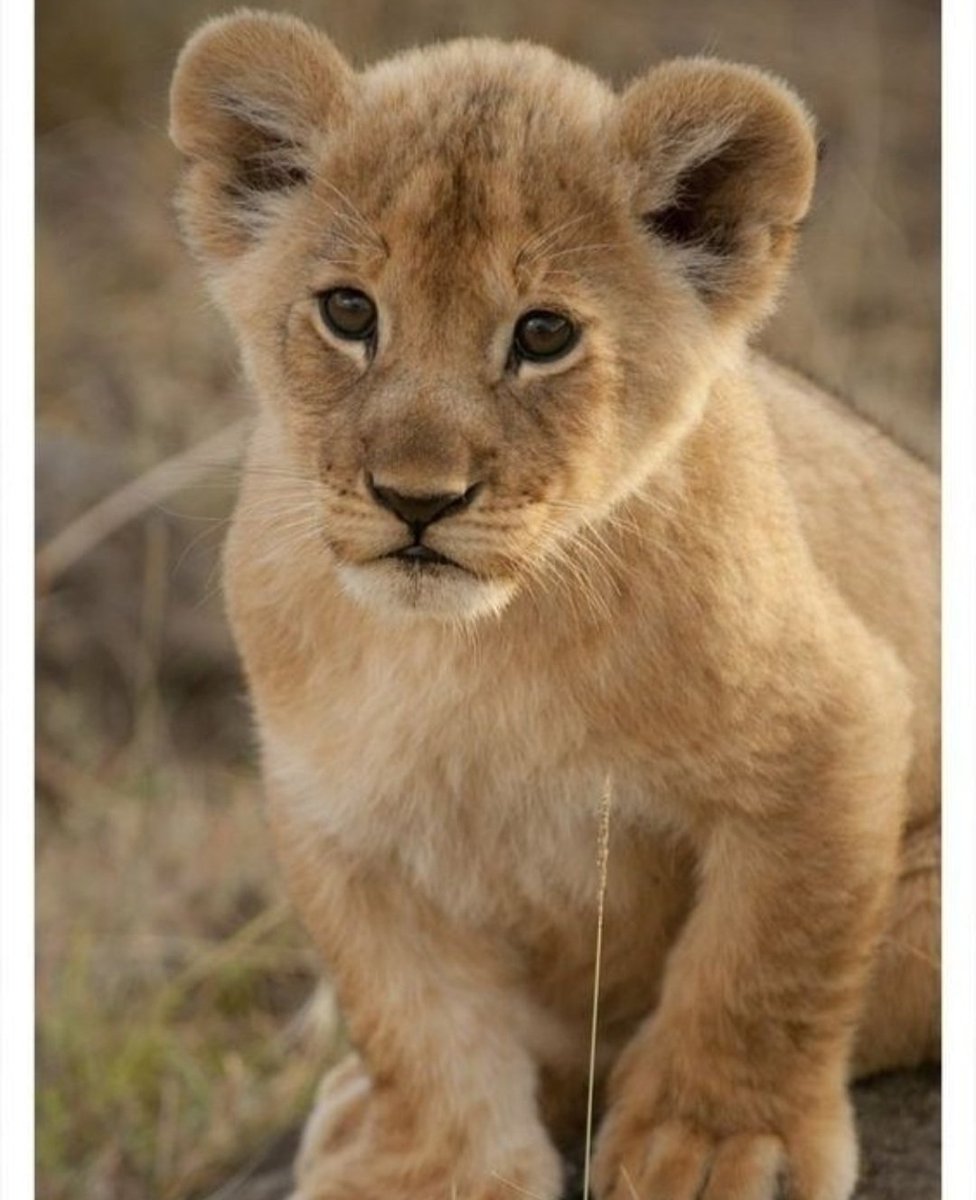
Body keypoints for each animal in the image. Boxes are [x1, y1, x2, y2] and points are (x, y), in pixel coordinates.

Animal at [169, 13, 939, 1199]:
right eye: (349, 311)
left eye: (542, 336)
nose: (417, 498)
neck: (475, 650)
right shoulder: (334, 811)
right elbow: (406, 1010)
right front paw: (431, 1166)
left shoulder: (833, 725)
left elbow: (768, 957)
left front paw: (711, 1143)